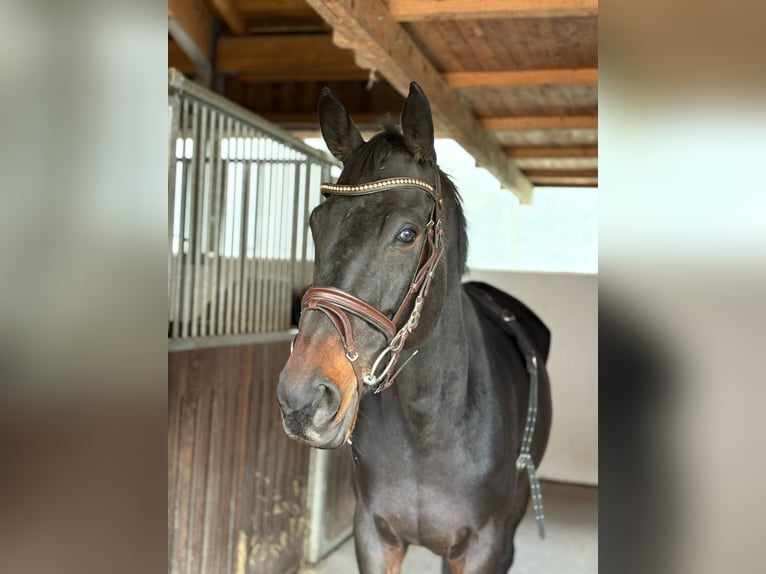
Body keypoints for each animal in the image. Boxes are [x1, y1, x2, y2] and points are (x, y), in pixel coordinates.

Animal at [277, 82, 552, 574]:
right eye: (315, 223)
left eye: (407, 234)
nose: (302, 400)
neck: (428, 420)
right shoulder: (374, 537)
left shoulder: (483, 548)